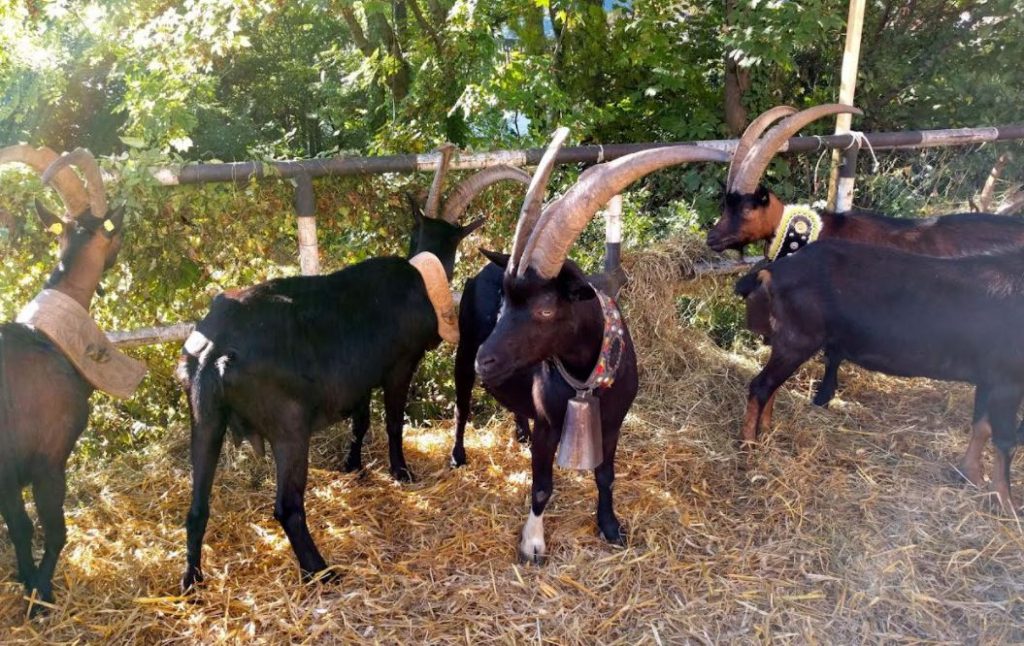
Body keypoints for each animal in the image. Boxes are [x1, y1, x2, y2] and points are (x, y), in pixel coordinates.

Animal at [0, 147, 125, 615]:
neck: (45, 337)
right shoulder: (47, 459)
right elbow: (51, 530)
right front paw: (41, 595)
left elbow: (18, 527)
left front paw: (27, 580)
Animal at [177, 145, 530, 590]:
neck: (420, 275)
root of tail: (214, 351)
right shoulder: (399, 364)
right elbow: (393, 420)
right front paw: (401, 471)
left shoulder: (359, 377)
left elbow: (361, 420)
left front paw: (353, 466)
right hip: (289, 426)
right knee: (287, 506)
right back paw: (321, 570)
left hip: (204, 418)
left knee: (197, 506)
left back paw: (192, 580)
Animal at [475, 129, 730, 563]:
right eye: (505, 300)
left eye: (545, 308)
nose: (485, 360)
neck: (586, 374)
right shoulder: (548, 424)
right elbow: (541, 485)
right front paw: (532, 543)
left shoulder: (613, 422)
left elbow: (605, 475)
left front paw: (610, 526)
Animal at [739, 239, 1024, 509]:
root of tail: (772, 271)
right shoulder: (1008, 380)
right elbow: (1005, 439)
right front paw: (1007, 505)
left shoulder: (989, 379)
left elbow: (982, 427)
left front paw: (972, 477)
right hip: (799, 338)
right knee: (761, 385)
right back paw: (750, 446)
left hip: (788, 340)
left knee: (771, 386)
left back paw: (766, 431)